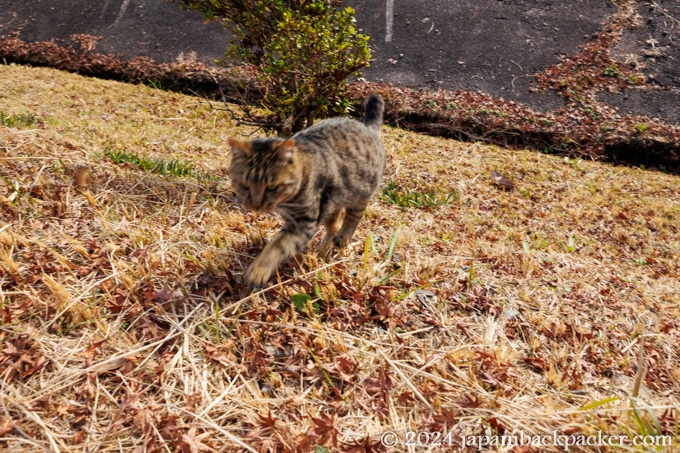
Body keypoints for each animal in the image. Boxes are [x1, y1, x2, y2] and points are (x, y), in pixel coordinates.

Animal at [228, 93, 386, 286]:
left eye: (271, 187)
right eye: (245, 185)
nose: (255, 205)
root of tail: (368, 129)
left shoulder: (304, 222)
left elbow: (277, 245)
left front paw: (258, 270)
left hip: (360, 196)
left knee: (351, 219)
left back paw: (342, 238)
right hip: (333, 201)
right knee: (334, 223)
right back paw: (324, 249)